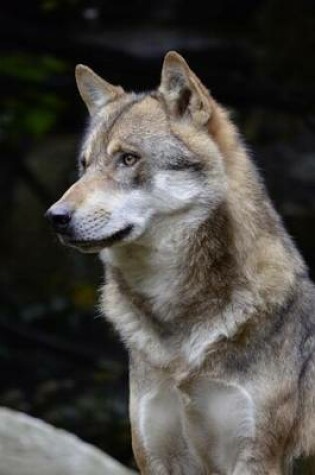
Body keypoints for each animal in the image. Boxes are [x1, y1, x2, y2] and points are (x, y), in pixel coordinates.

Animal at [46, 50, 315, 474]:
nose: (55, 216)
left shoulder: (257, 459)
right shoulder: (156, 457)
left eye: (128, 159)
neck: (180, 330)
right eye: (84, 165)